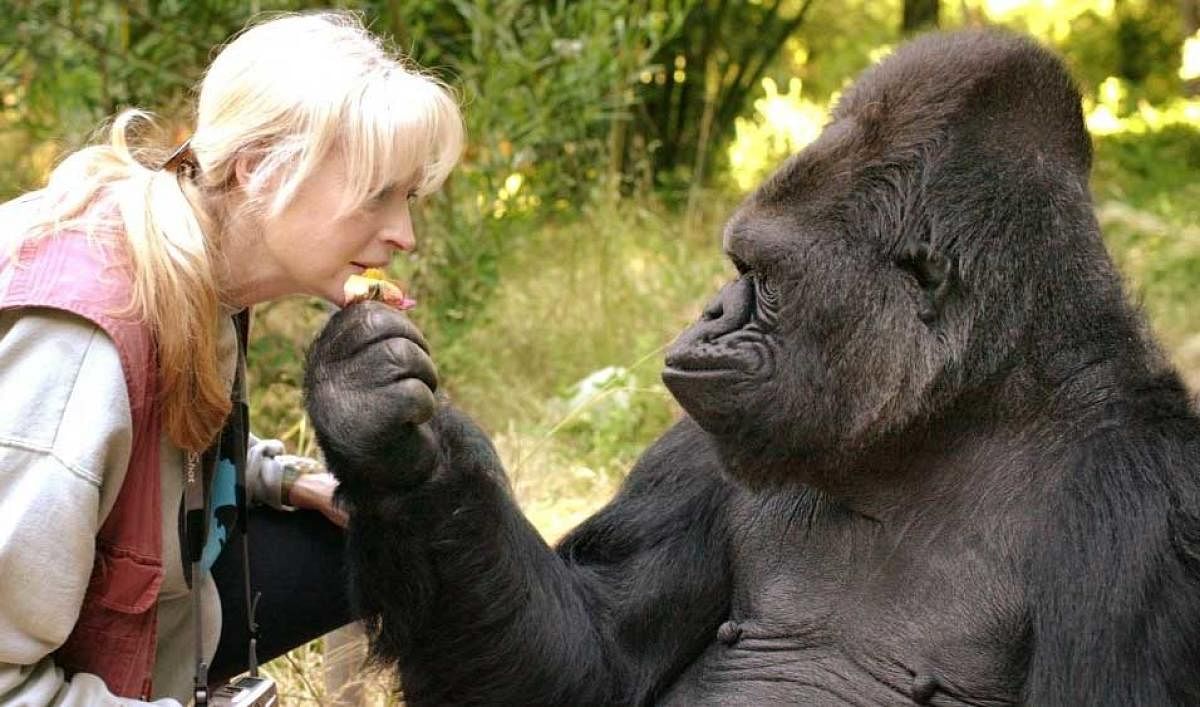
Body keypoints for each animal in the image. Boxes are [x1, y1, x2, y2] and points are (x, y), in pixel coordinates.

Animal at [307, 30, 1200, 705]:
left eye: (761, 276)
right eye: (737, 265)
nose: (708, 312)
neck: (957, 412)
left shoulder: (1148, 514)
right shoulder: (703, 443)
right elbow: (590, 665)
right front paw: (385, 437)